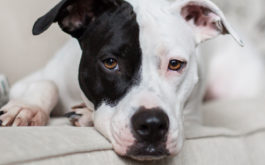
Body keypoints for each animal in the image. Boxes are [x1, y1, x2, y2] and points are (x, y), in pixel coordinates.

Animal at [0, 0, 262, 161]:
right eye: (110, 62)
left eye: (175, 64)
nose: (152, 124)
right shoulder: (33, 79)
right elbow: (47, 83)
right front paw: (26, 108)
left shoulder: (191, 117)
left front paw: (85, 116)